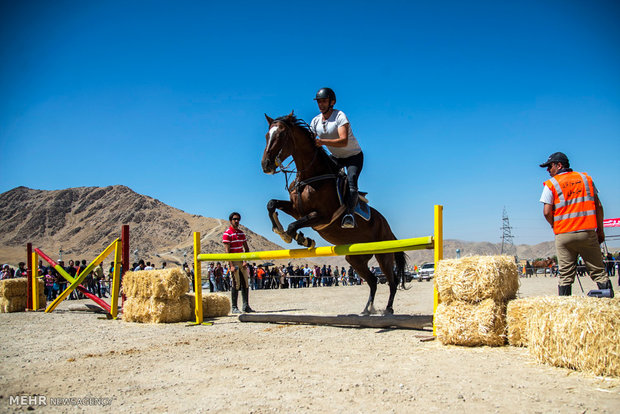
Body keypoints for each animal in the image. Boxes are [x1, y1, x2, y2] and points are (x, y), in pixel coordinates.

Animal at [262, 111, 406, 316]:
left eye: (281, 135)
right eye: (267, 135)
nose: (266, 165)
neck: (310, 177)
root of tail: (387, 227)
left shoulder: (322, 216)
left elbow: (293, 226)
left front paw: (301, 239)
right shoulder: (297, 210)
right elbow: (272, 204)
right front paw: (282, 231)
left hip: (383, 254)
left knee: (391, 281)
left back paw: (388, 309)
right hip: (355, 258)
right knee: (372, 281)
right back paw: (366, 309)